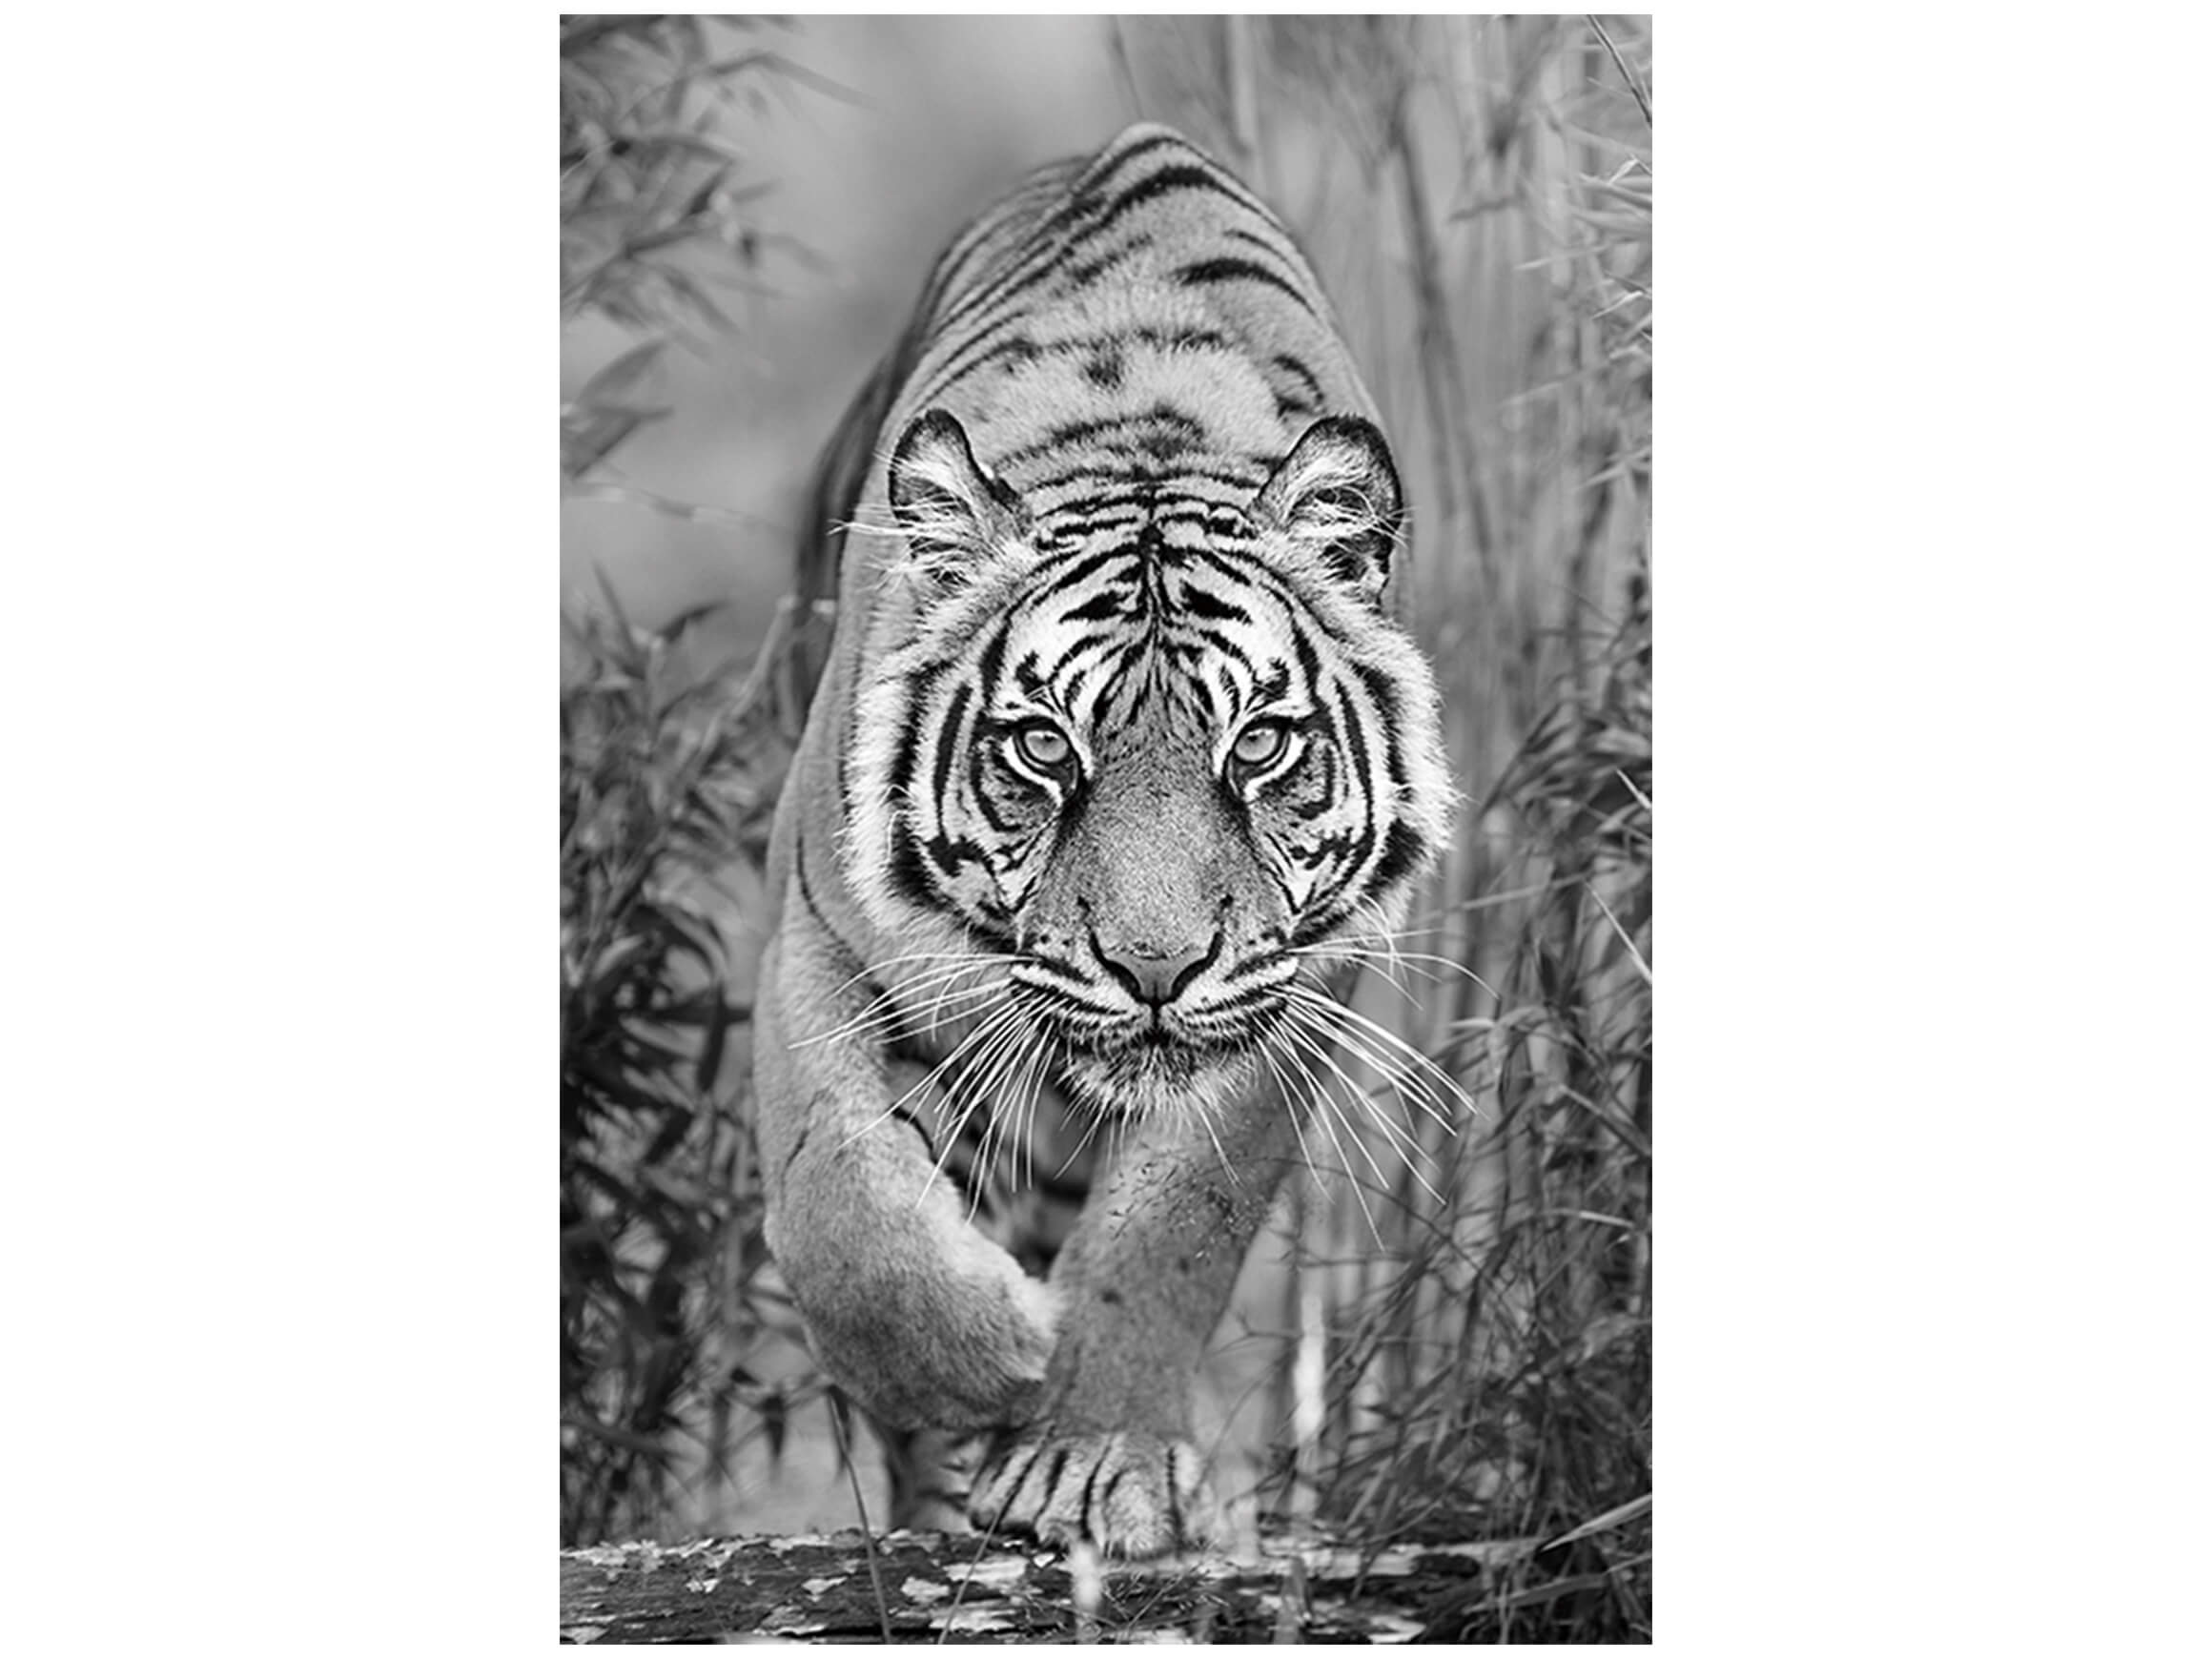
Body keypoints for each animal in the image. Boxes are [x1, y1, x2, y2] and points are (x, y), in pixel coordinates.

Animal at [751, 121, 1454, 1557]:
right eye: (1041, 750)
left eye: (1259, 746)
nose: (1153, 970)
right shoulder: (816, 934)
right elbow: (838, 1197)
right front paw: (982, 1362)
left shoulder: (1295, 989)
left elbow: (1174, 1228)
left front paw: (1085, 1459)